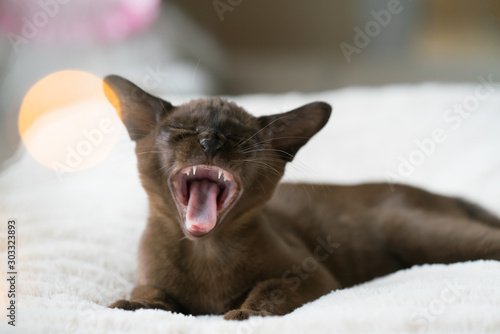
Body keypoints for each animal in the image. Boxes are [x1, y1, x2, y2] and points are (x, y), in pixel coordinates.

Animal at [102, 75, 500, 320]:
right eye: (183, 130)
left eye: (240, 138)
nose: (210, 141)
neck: (207, 252)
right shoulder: (150, 278)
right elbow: (152, 295)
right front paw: (129, 305)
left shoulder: (313, 277)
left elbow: (270, 288)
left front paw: (247, 314)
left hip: (422, 235)